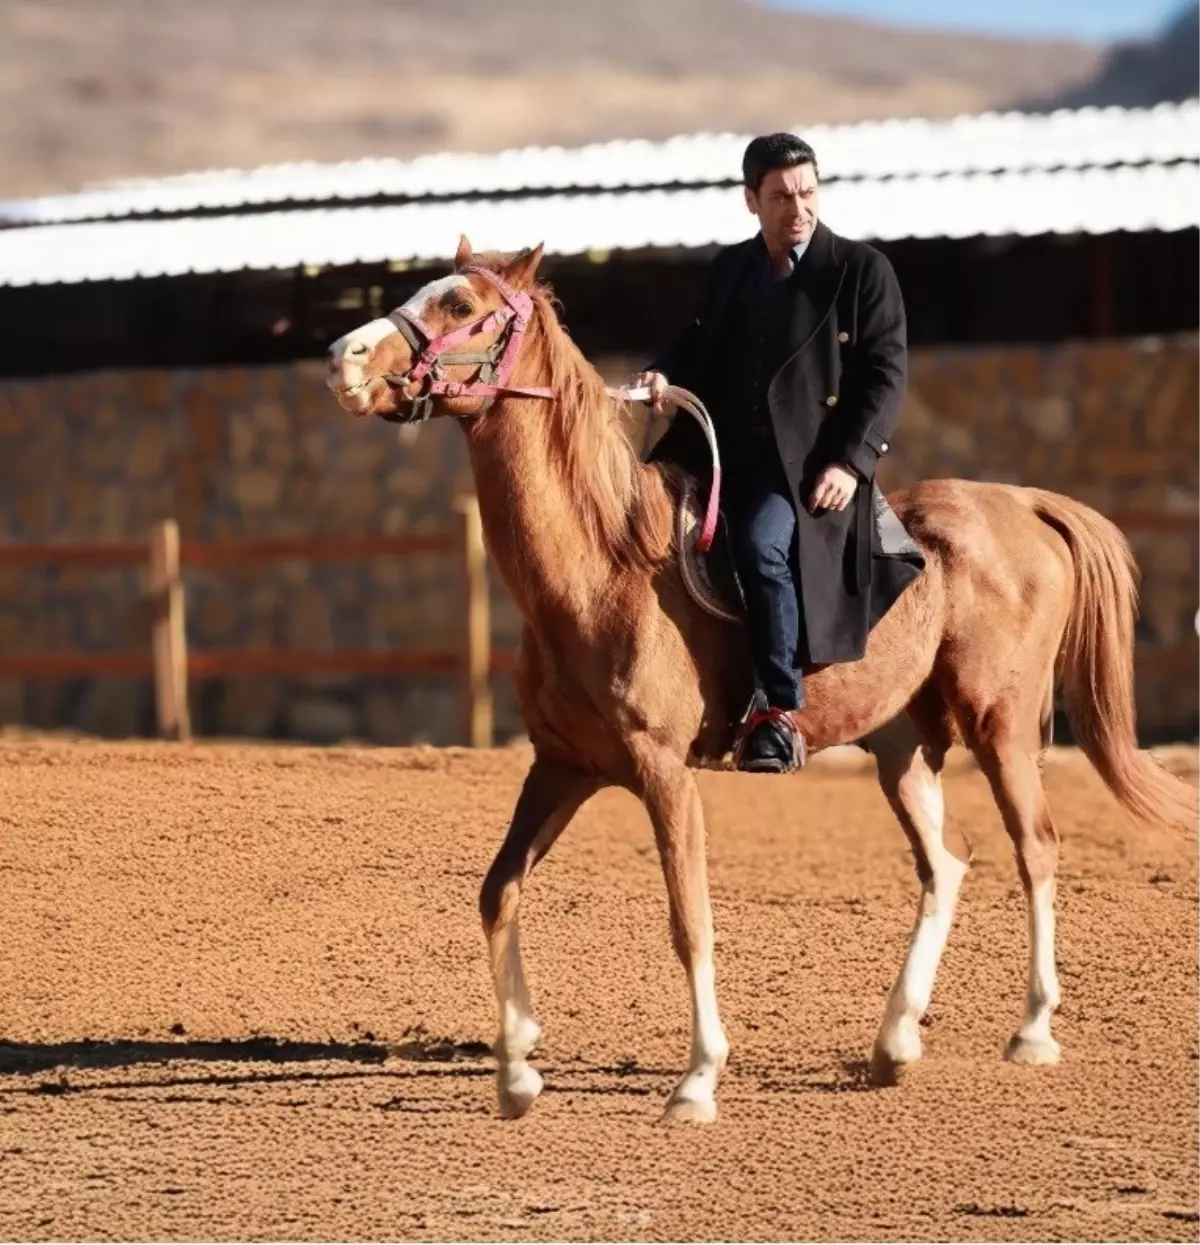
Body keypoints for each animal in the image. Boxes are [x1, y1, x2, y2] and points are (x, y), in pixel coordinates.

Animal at [323, 237, 1195, 1125]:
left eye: (462, 306)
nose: (342, 358)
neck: (602, 567)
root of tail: (1023, 504)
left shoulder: (664, 773)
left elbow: (689, 920)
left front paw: (697, 1079)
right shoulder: (561, 767)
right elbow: (498, 892)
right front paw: (517, 1072)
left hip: (1002, 727)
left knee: (1036, 849)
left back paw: (1032, 1030)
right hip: (903, 748)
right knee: (945, 867)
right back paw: (895, 1042)